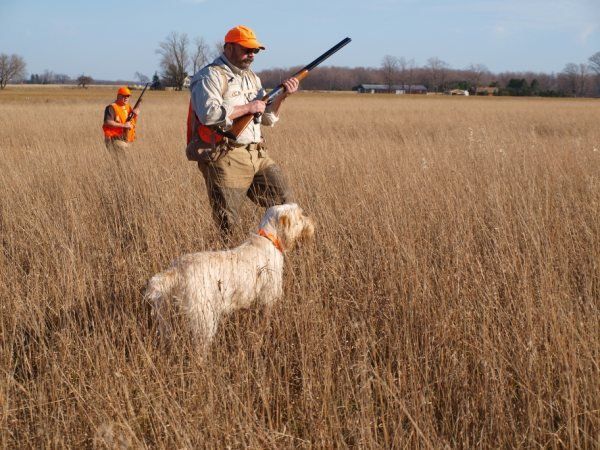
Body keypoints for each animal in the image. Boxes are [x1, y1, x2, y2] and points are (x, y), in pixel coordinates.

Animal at [144, 203, 314, 352]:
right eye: (300, 215)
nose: (313, 223)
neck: (268, 239)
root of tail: (177, 270)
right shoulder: (269, 296)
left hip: (166, 320)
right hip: (204, 320)